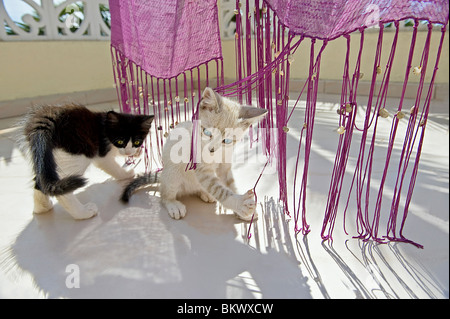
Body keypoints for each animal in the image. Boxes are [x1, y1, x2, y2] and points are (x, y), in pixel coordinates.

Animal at [21, 104, 155, 220]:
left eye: (137, 141)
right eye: (120, 141)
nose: (128, 151)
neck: (105, 127)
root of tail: (45, 120)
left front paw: (136, 152)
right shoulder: (102, 154)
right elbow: (112, 166)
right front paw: (127, 173)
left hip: (49, 159)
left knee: (41, 181)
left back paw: (42, 208)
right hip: (76, 153)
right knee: (62, 188)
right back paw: (83, 213)